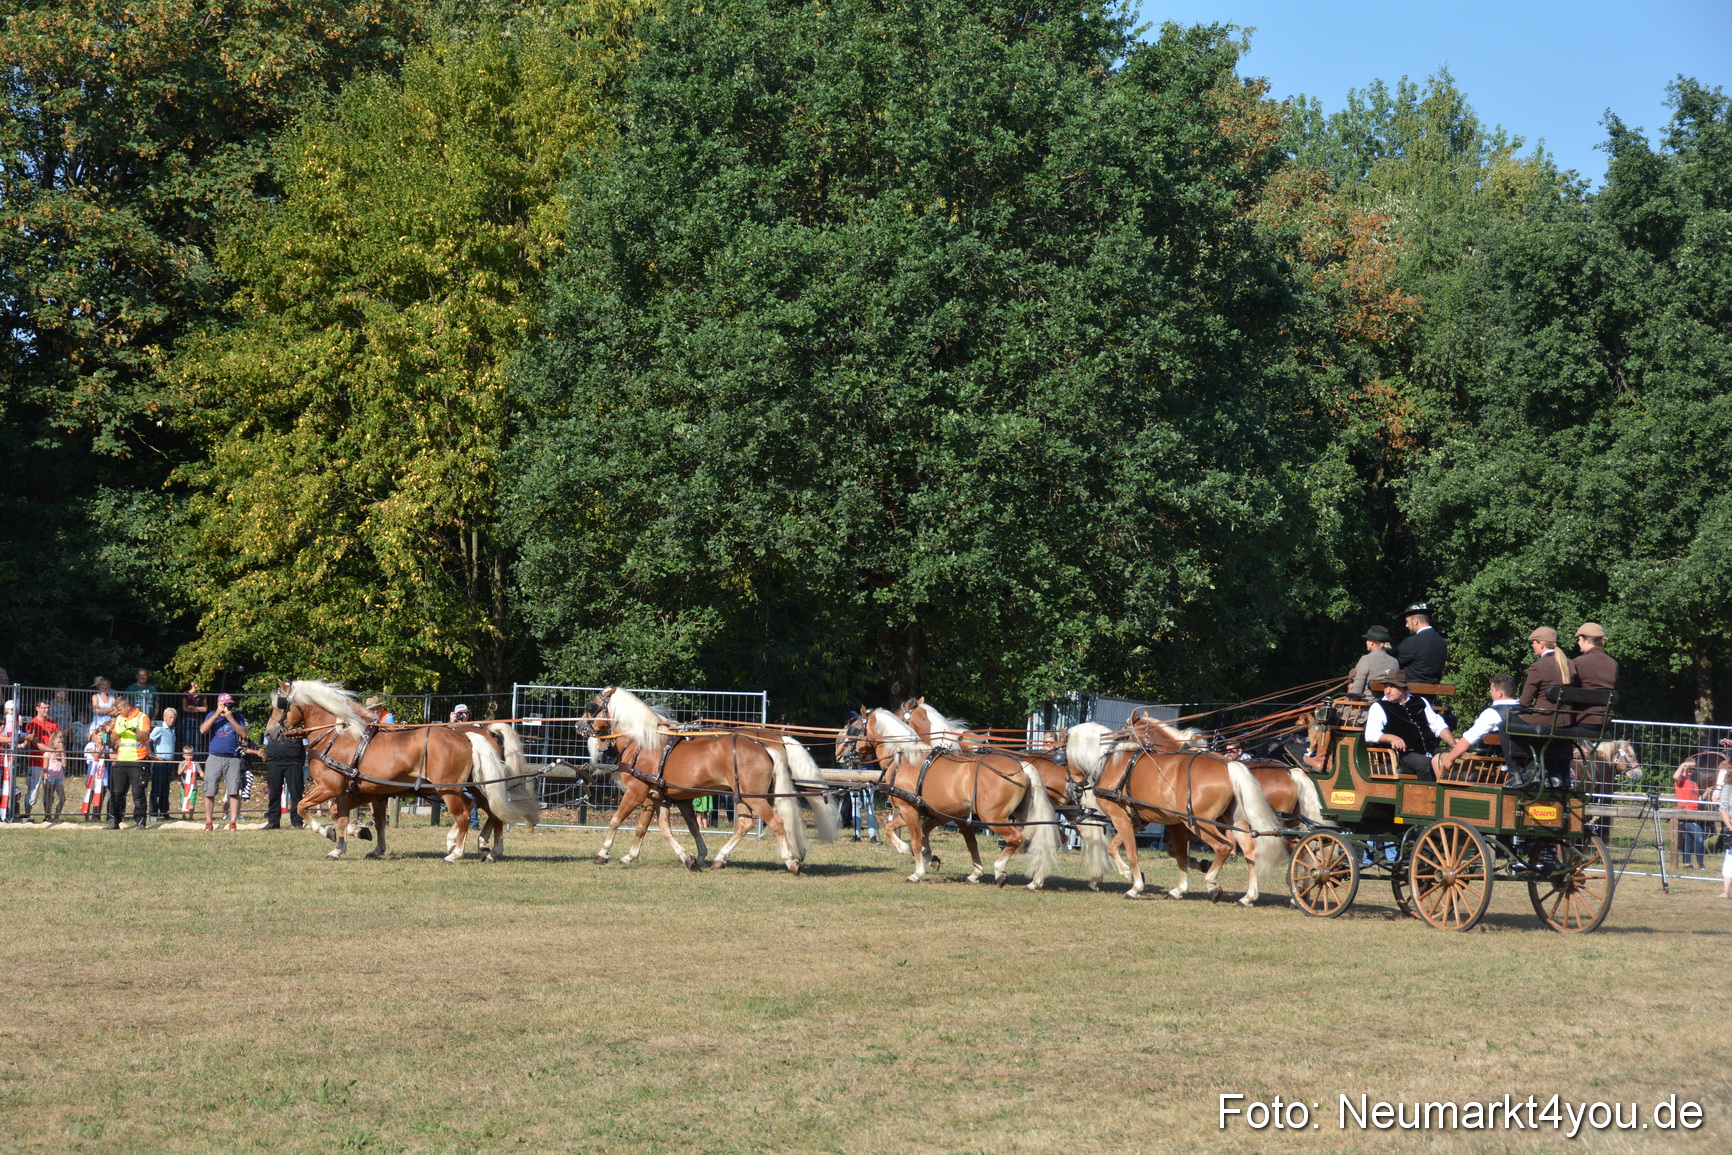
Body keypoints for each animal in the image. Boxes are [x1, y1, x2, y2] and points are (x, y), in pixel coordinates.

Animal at [279, 680, 539, 862]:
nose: (275, 732)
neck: (341, 737)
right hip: (473, 787)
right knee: (490, 810)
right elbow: (357, 818)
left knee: (469, 814)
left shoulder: (335, 788)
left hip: (450, 789)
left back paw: (458, 852)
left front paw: (335, 833)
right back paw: (486, 848)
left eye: (280, 705)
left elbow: (308, 807)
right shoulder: (366, 792)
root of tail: (472, 734)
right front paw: (354, 842)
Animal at [582, 688, 813, 873]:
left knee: (776, 822)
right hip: (746, 797)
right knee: (745, 824)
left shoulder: (636, 793)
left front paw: (603, 854)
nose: (579, 725)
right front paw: (689, 858)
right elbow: (667, 828)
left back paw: (790, 861)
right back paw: (720, 859)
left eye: (592, 706)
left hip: (755, 798)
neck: (644, 743)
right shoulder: (661, 797)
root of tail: (764, 747)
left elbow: (616, 820)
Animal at [840, 709, 1060, 888]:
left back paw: (1000, 871)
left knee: (1016, 838)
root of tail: (1022, 765)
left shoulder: (910, 810)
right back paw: (1035, 880)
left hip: (994, 817)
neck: (908, 758)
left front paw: (916, 870)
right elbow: (894, 828)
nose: (844, 756)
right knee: (1037, 841)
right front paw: (929, 856)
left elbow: (916, 840)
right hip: (1023, 814)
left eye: (855, 729)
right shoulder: (930, 813)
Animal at [1064, 722, 1289, 903]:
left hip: (1200, 823)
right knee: (1250, 851)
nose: (1070, 789)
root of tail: (1228, 764)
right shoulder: (1138, 821)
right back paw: (1248, 896)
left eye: (1063, 760)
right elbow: (1115, 848)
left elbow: (1132, 853)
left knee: (1224, 847)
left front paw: (1135, 888)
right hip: (1234, 821)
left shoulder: (1122, 819)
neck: (1112, 762)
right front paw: (1137, 877)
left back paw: (1213, 884)